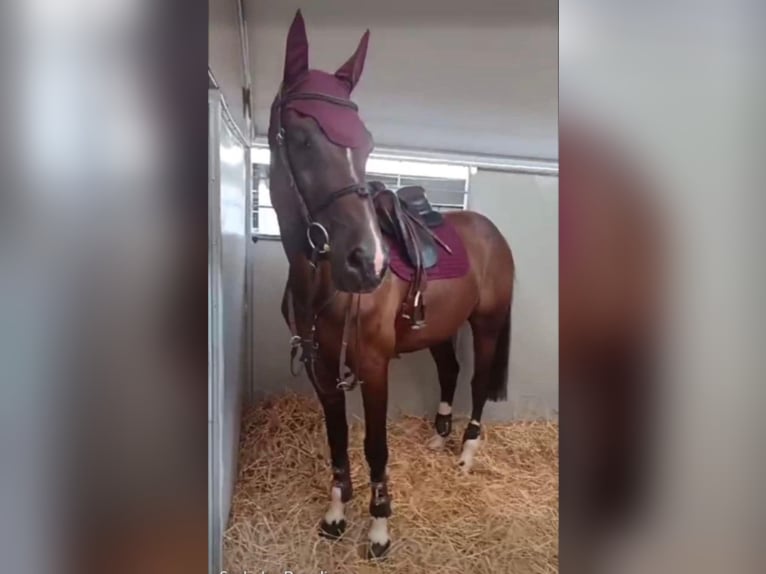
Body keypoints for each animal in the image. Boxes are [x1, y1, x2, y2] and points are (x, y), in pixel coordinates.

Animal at [267, 11, 515, 559]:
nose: (369, 261)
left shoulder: (374, 367)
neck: (323, 286)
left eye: (366, 144)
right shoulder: (321, 369)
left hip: (486, 324)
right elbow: (338, 441)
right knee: (450, 371)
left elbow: (373, 446)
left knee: (477, 382)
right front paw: (336, 514)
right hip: (439, 328)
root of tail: (492, 232)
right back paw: (439, 437)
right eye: (300, 138)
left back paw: (465, 454)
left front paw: (379, 527)